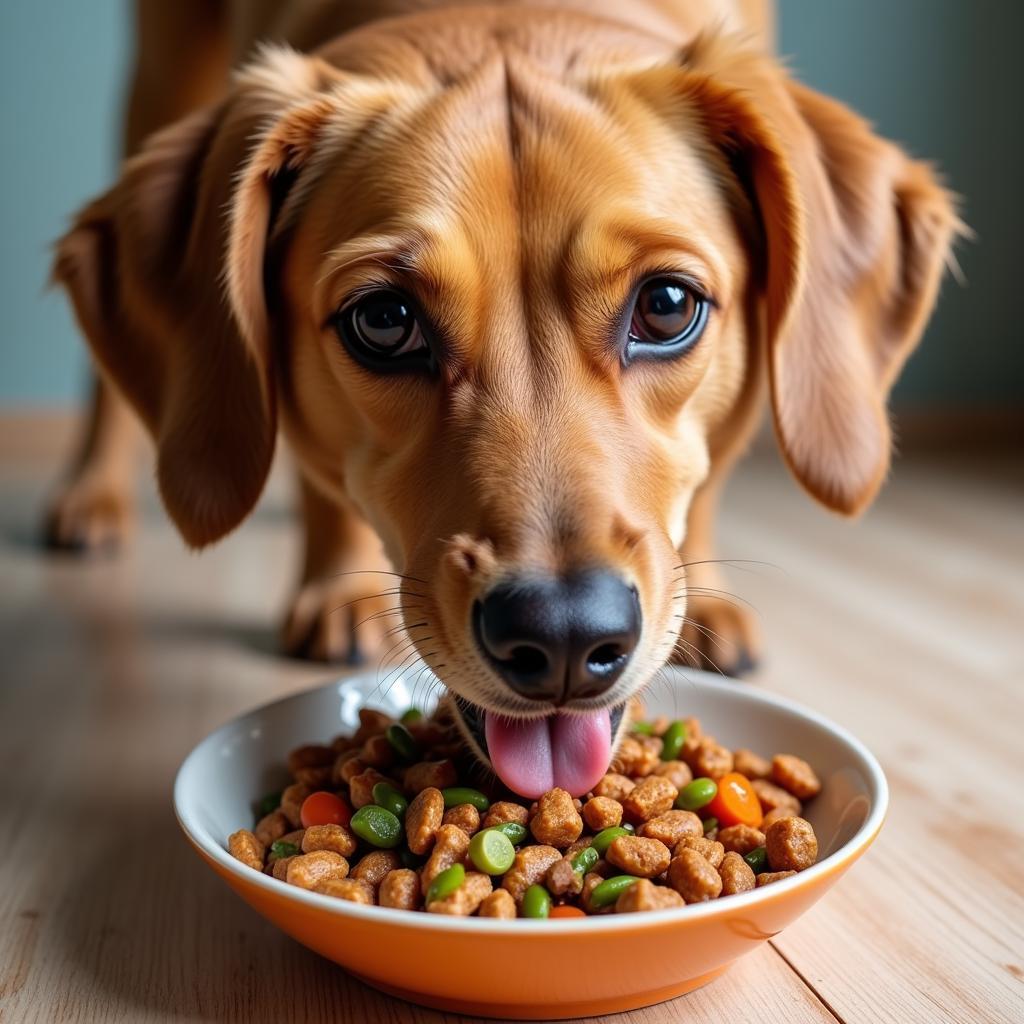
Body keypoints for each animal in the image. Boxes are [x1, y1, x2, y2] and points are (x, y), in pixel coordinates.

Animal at [49, 0, 958, 798]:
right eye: (384, 320)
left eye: (667, 305)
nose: (564, 637)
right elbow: (321, 489)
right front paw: (338, 587)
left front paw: (707, 610)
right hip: (163, 71)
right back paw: (91, 498)